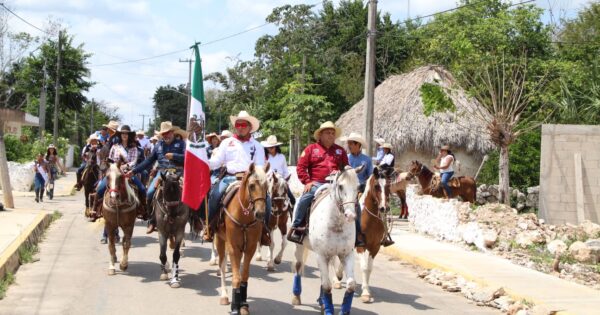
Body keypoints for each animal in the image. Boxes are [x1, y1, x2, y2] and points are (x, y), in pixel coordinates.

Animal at [212, 163, 266, 315]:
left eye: (267, 185)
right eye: (252, 186)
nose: (260, 213)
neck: (244, 217)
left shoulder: (250, 248)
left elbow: (244, 276)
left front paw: (243, 305)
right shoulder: (233, 247)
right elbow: (236, 277)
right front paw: (235, 307)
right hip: (220, 240)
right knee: (222, 265)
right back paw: (224, 295)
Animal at [290, 167, 360, 314]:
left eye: (358, 187)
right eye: (340, 186)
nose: (350, 215)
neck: (336, 224)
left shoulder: (346, 254)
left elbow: (351, 285)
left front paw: (343, 310)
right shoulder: (321, 255)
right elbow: (327, 286)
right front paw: (328, 310)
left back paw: (321, 301)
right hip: (300, 247)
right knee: (298, 266)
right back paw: (296, 296)